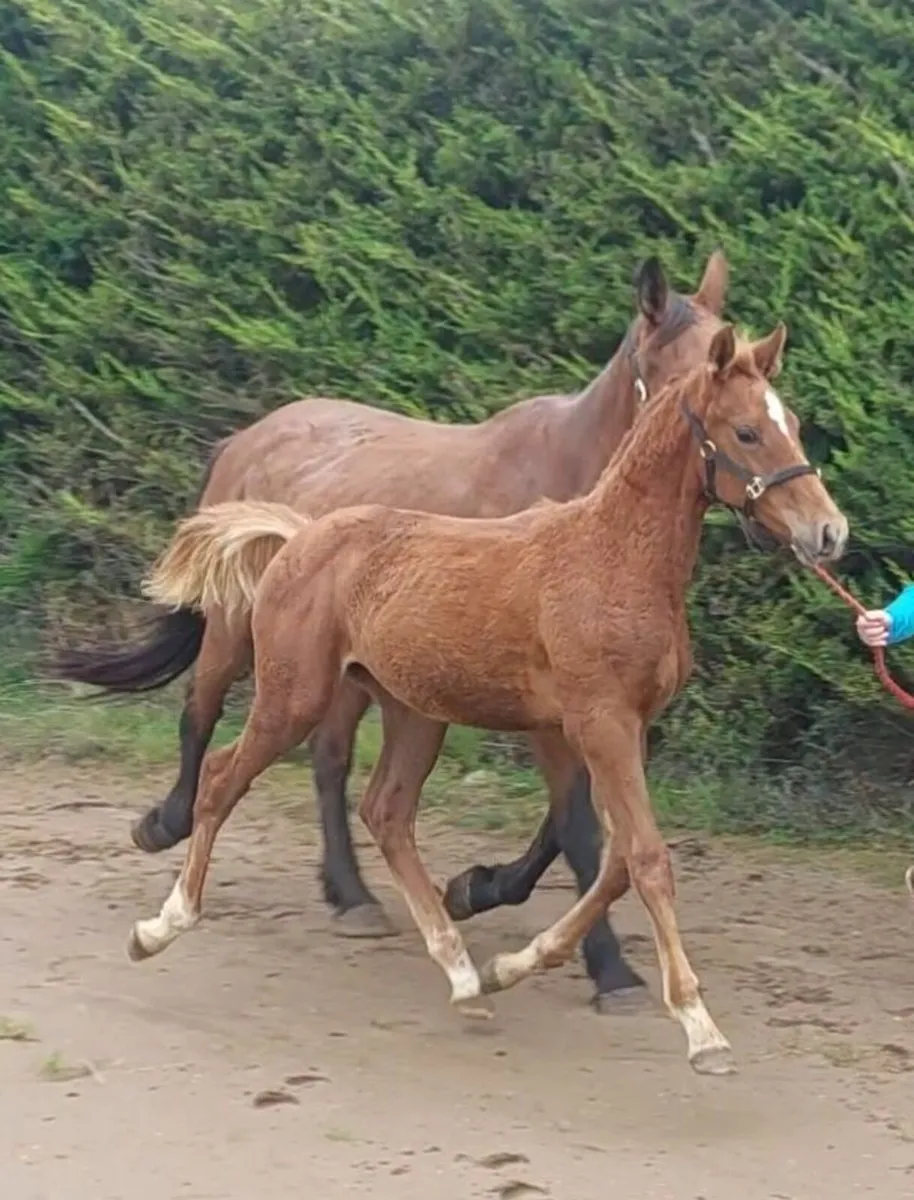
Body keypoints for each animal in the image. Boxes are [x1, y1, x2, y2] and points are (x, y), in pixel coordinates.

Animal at [55, 251, 732, 1012]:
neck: (580, 494)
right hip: (239, 634)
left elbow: (567, 823)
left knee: (328, 760)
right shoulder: (561, 707)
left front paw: (478, 889)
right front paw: (610, 970)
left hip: (353, 676)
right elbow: (578, 823)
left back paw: (350, 894)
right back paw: (166, 825)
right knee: (202, 714)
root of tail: (245, 438)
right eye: (680, 364)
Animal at [127, 319, 847, 1076]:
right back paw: (163, 923)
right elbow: (641, 856)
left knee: (386, 811)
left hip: (412, 711)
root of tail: (301, 534)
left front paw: (516, 961)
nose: (829, 532)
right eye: (746, 432)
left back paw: (465, 976)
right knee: (221, 774)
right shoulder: (597, 723)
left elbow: (615, 860)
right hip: (292, 693)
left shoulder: (631, 728)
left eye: (794, 424)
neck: (611, 556)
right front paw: (698, 1026)